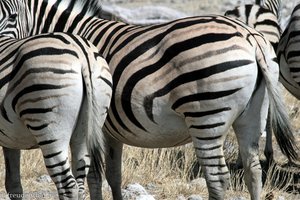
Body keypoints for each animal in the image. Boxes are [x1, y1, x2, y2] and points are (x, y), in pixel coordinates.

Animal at [0, 31, 112, 198]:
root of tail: (81, 51)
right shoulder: (12, 138)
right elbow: (13, 184)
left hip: (49, 125)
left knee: (67, 185)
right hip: (88, 127)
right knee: (79, 183)